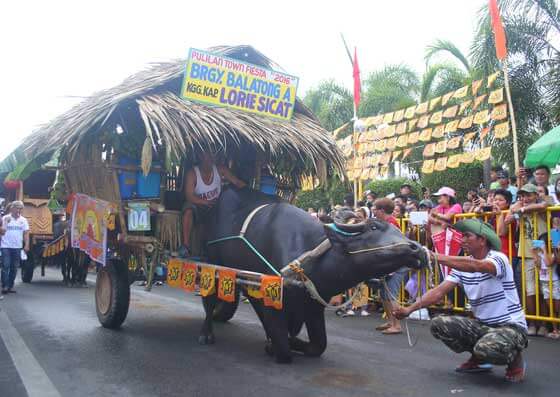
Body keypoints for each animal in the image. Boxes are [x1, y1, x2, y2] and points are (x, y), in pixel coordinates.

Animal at [201, 186, 428, 362]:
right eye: (373, 227)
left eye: (396, 229)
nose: (417, 249)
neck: (308, 253)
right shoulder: (273, 298)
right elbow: (284, 349)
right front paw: (278, 344)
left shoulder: (313, 303)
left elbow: (318, 345)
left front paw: (283, 343)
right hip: (211, 266)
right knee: (209, 299)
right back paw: (207, 335)